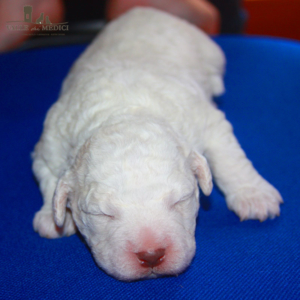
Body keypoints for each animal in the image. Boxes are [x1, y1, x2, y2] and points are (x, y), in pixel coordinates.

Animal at [32, 7, 284, 282]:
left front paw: (255, 197)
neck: (123, 112)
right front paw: (51, 217)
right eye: (102, 214)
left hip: (209, 51)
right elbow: (49, 176)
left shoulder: (206, 121)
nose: (151, 255)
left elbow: (229, 158)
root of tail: (146, 9)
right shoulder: (51, 141)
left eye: (180, 200)